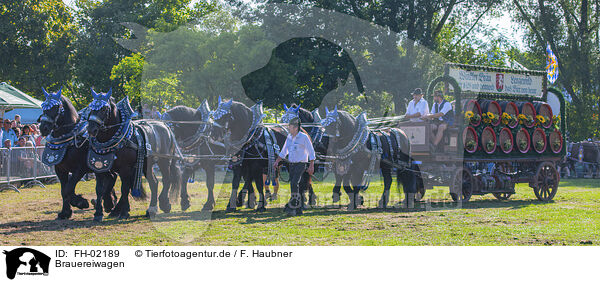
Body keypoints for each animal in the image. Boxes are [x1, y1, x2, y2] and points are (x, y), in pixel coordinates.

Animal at [38, 87, 117, 219]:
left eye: (56, 107)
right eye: (43, 106)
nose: (43, 128)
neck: (68, 140)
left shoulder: (80, 169)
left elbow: (68, 189)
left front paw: (80, 202)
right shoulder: (60, 170)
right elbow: (64, 190)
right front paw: (65, 212)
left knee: (109, 180)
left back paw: (104, 205)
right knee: (111, 178)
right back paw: (109, 202)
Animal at [85, 89, 180, 221]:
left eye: (104, 109)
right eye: (91, 107)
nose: (91, 129)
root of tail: (166, 126)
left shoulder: (125, 168)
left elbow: (124, 188)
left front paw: (124, 212)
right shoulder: (99, 168)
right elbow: (99, 189)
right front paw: (99, 213)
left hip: (164, 161)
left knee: (166, 179)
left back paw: (164, 204)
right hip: (146, 164)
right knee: (154, 182)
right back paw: (151, 209)